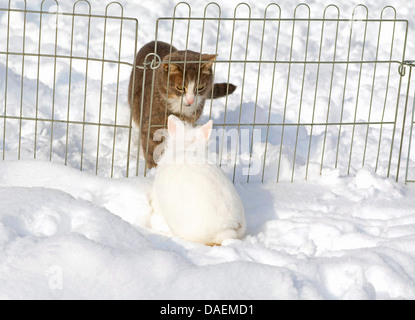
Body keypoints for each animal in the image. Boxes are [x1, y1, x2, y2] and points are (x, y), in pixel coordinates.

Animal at [128, 41, 236, 171]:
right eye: (179, 87)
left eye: (200, 88)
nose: (190, 100)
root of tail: (155, 41)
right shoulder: (150, 121)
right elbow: (152, 147)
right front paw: (153, 169)